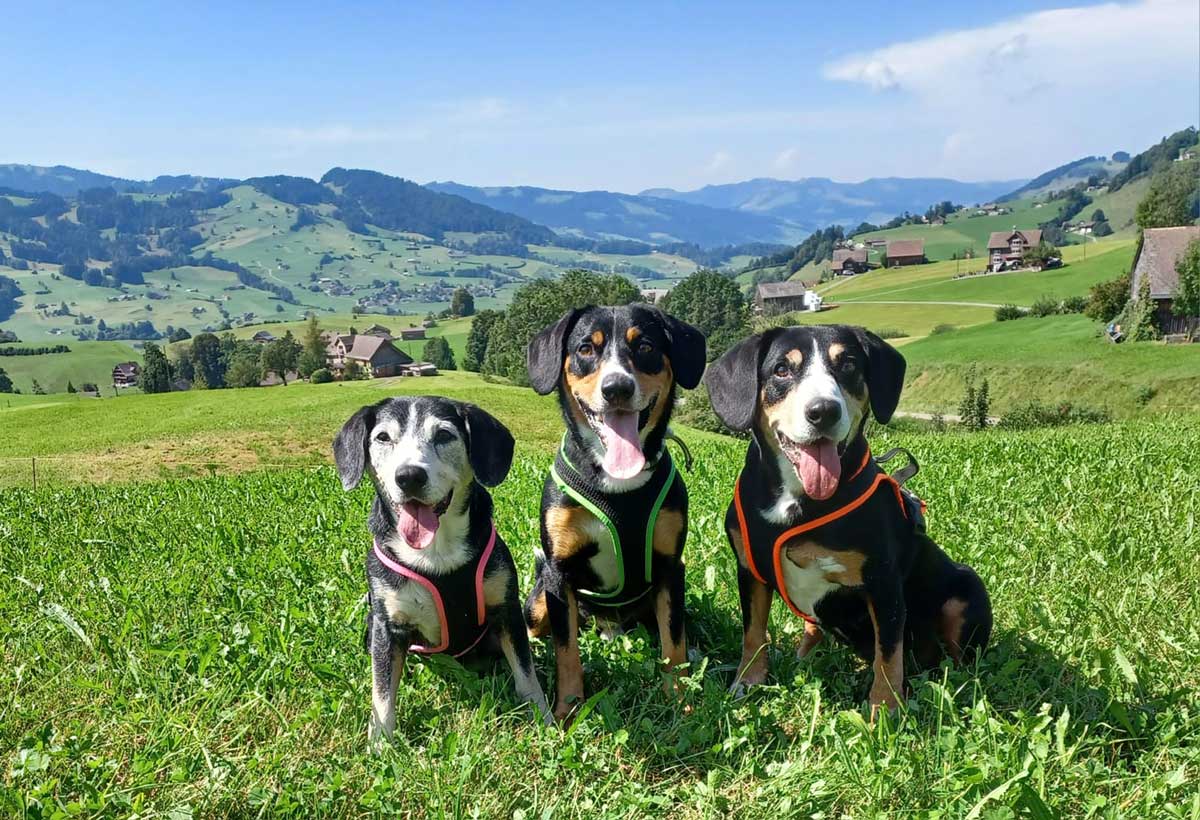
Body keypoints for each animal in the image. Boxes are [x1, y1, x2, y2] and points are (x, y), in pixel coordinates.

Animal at [331, 393, 549, 739]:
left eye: (444, 435)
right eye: (383, 437)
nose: (409, 476)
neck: (437, 551)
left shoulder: (507, 610)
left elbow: (526, 674)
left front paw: (545, 719)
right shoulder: (387, 626)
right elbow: (382, 692)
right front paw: (380, 741)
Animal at [523, 304, 700, 720]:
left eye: (646, 346)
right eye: (586, 348)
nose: (616, 387)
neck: (617, 483)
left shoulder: (670, 567)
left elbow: (674, 642)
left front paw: (679, 699)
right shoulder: (559, 572)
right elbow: (566, 650)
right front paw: (568, 708)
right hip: (539, 599)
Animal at [700, 324, 993, 715]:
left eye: (849, 365)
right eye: (782, 369)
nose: (823, 411)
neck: (797, 502)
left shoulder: (883, 584)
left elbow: (889, 655)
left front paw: (885, 710)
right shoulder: (750, 571)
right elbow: (753, 633)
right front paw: (748, 681)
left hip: (967, 588)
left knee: (956, 659)